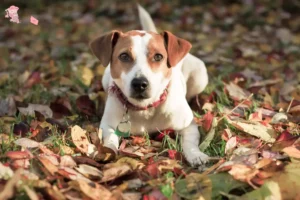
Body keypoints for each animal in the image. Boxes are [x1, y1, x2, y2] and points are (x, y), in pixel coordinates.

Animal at [89, 4, 209, 166]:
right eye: (124, 56)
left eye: (158, 56)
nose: (140, 84)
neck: (145, 108)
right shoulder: (108, 126)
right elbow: (110, 139)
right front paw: (107, 151)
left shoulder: (188, 126)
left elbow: (190, 142)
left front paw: (196, 155)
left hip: (200, 76)